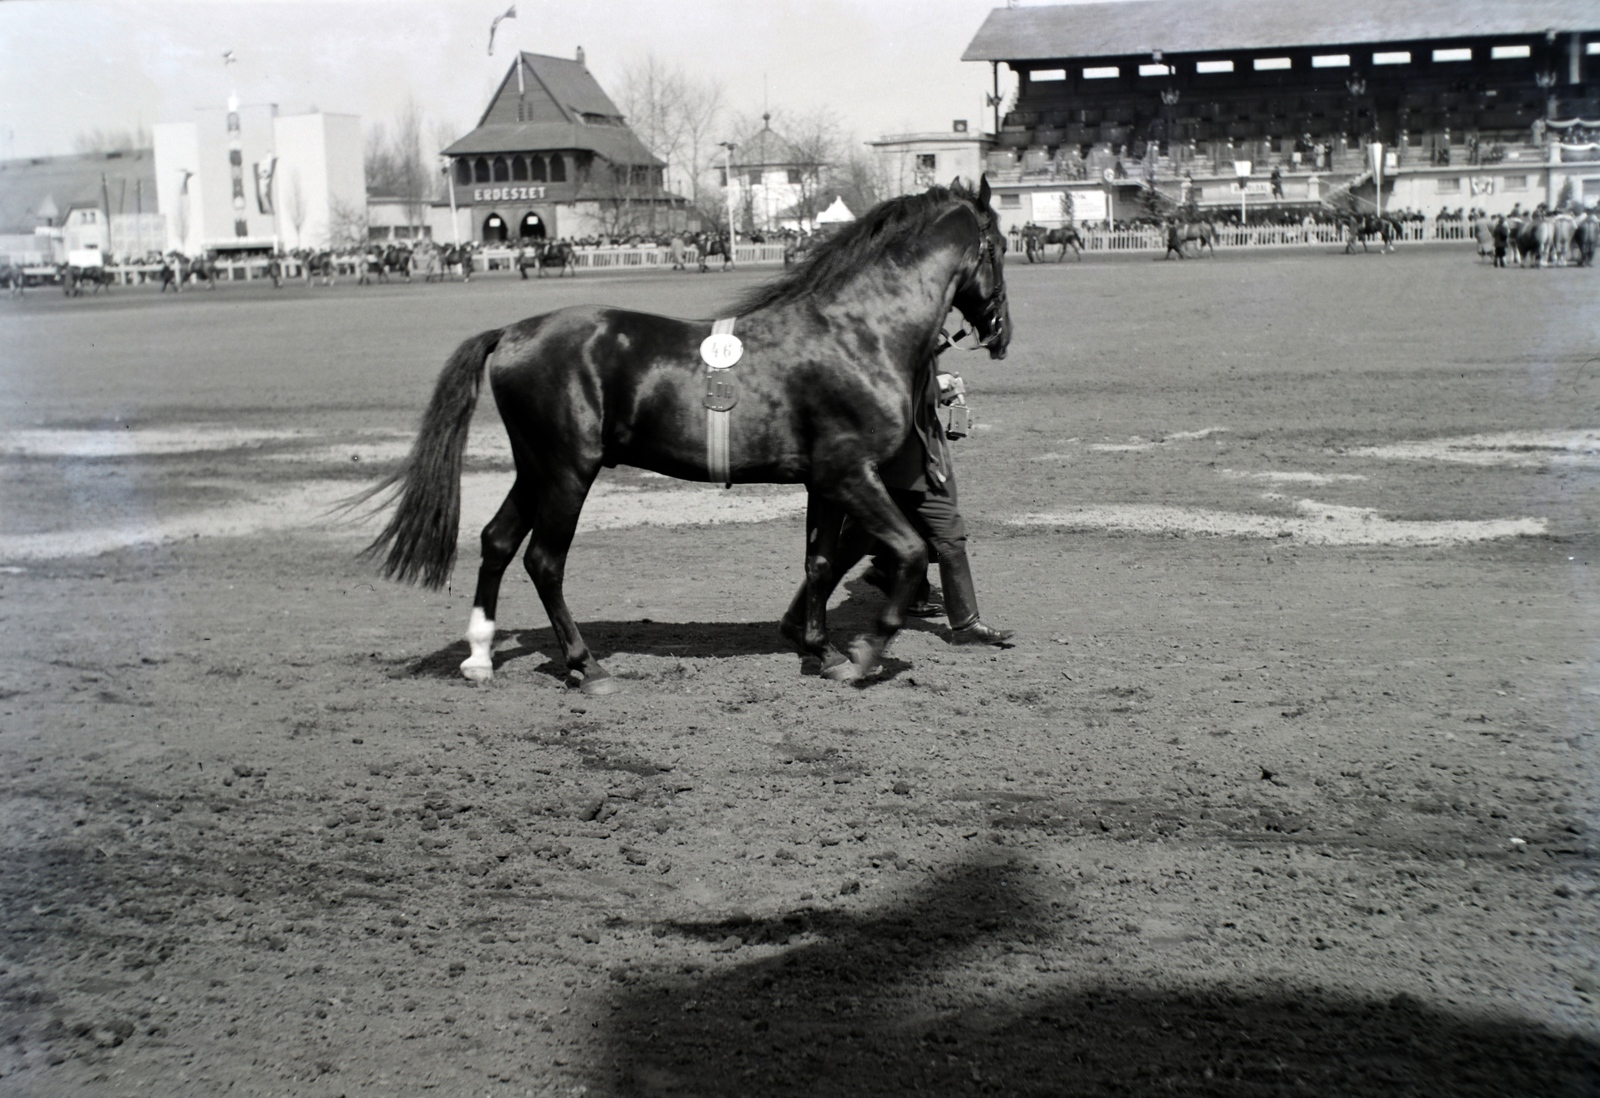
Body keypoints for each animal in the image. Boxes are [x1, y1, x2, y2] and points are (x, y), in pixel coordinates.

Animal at [361, 181, 1011, 697]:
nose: (1001, 335)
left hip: (535, 467)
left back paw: (478, 656)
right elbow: (910, 550)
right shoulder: (849, 473)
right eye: (1001, 248)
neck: (858, 332)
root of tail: (512, 331)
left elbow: (822, 561)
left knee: (496, 541)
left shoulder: (823, 483)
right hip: (569, 469)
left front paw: (819, 650)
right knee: (544, 561)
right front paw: (862, 657)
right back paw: (586, 666)